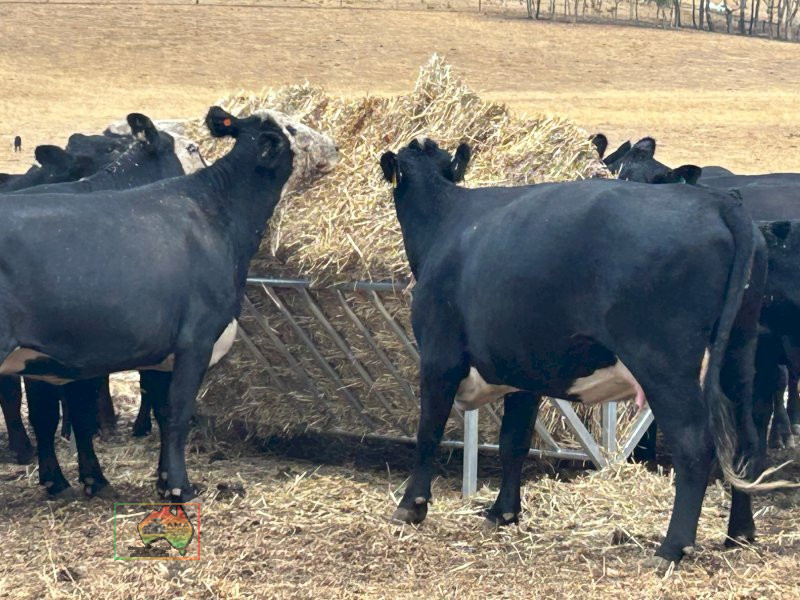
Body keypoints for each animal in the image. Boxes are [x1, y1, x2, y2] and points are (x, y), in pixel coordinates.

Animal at [379, 138, 776, 568]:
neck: (448, 220)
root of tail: (717, 204)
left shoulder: (440, 356)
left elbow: (428, 431)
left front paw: (411, 506)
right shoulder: (523, 371)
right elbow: (513, 440)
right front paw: (503, 512)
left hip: (665, 367)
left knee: (694, 445)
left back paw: (671, 548)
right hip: (740, 356)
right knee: (746, 441)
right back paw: (740, 532)